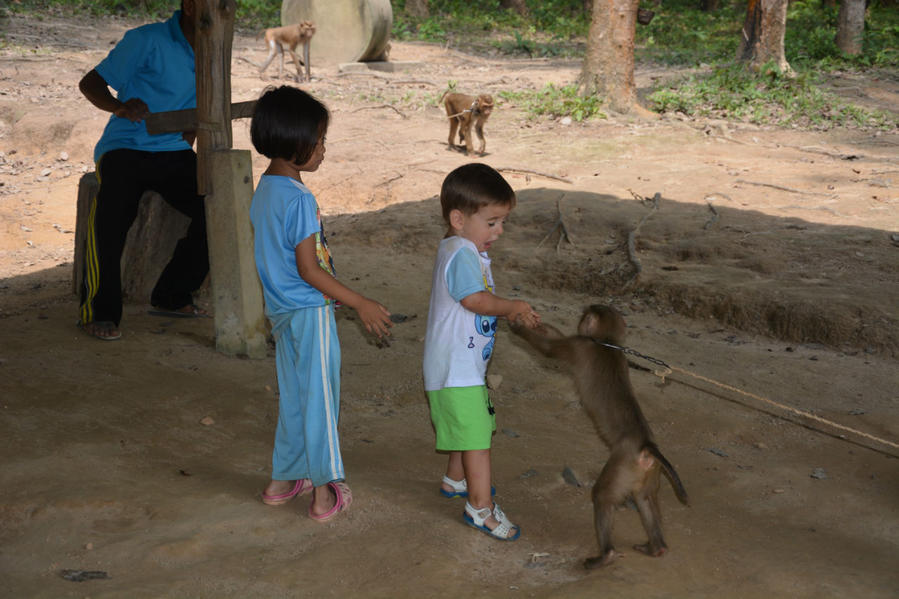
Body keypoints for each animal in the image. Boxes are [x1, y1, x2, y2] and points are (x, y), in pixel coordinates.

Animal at [510, 308, 692, 568]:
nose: (581, 320)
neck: (607, 342)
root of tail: (646, 445)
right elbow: (554, 335)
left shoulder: (580, 345)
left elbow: (550, 348)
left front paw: (518, 327)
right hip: (649, 471)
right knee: (644, 498)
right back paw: (656, 547)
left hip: (623, 463)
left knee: (603, 495)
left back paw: (606, 554)